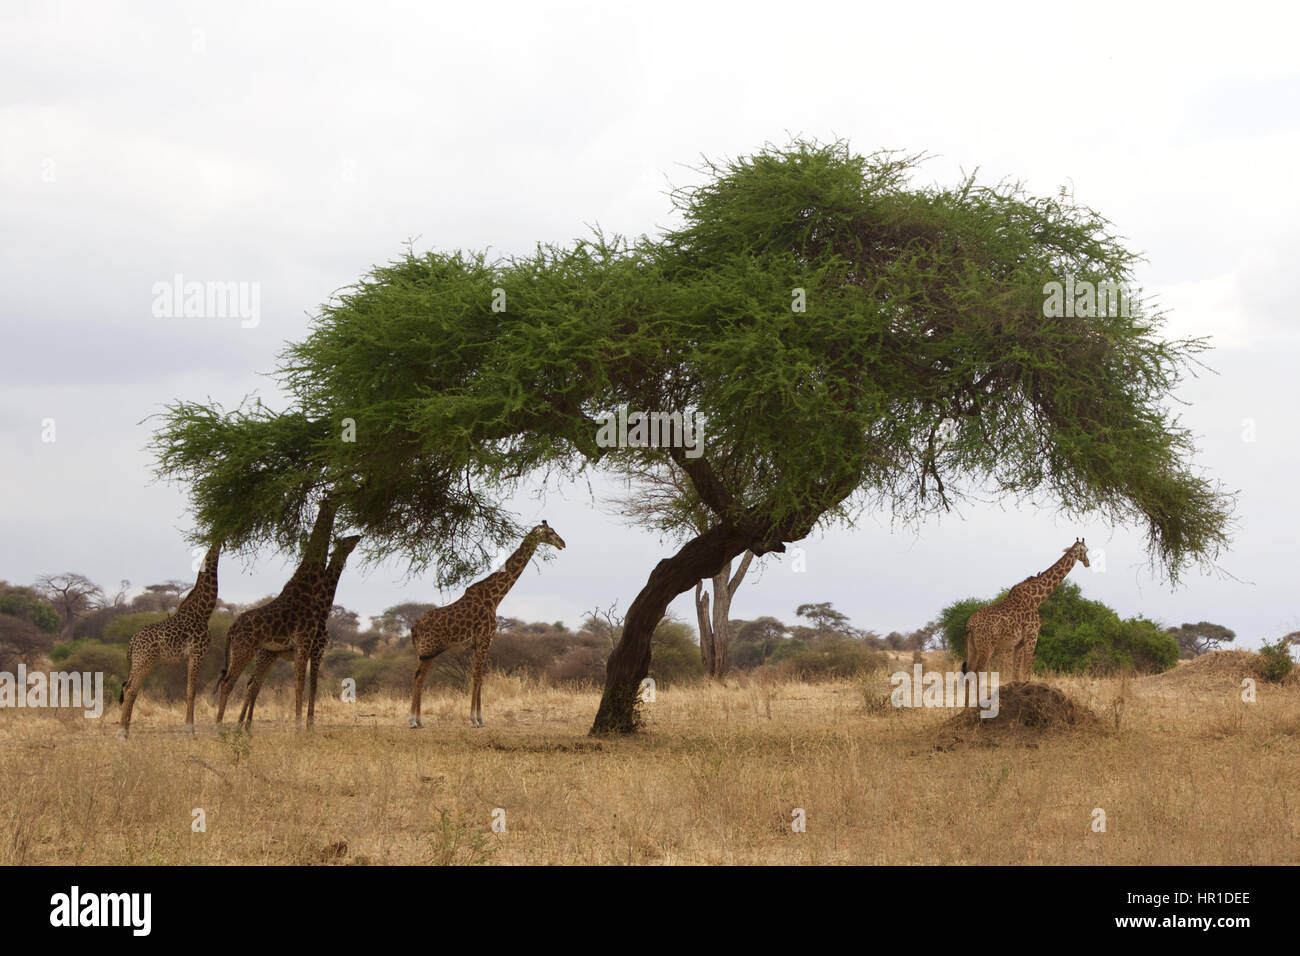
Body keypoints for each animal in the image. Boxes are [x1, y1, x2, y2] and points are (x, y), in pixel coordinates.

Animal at [117, 543, 221, 739]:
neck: (203, 612)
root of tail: (132, 642)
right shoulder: (198, 652)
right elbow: (191, 691)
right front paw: (190, 731)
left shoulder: (191, 656)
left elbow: (189, 690)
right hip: (145, 661)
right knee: (131, 689)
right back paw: (121, 733)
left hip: (136, 662)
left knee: (128, 688)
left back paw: (125, 731)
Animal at [234, 534, 361, 728]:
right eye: (345, 541)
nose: (358, 536)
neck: (323, 612)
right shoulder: (316, 651)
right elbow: (311, 685)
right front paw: (308, 724)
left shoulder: (313, 652)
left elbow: (311, 685)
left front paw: (309, 723)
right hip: (265, 656)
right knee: (252, 684)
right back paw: (242, 725)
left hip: (271, 659)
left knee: (255, 684)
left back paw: (245, 725)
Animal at [408, 521, 566, 729]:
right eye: (550, 532)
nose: (563, 543)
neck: (494, 597)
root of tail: (414, 628)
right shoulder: (485, 639)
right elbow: (477, 676)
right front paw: (475, 719)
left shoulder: (479, 643)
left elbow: (480, 676)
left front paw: (480, 719)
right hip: (428, 649)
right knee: (418, 676)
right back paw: (412, 720)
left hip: (428, 651)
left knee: (421, 676)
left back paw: (419, 720)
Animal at [961, 538, 1090, 681]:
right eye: (1086, 550)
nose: (1088, 563)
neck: (1037, 598)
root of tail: (970, 625)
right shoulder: (1032, 637)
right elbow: (1027, 672)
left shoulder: (1018, 643)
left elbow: (1015, 675)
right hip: (987, 646)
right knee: (977, 672)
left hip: (972, 647)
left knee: (968, 671)